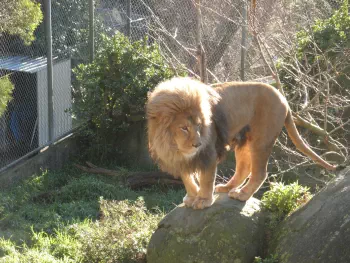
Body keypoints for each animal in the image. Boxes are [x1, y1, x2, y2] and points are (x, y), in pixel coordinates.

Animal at [146, 77, 336, 210]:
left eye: (199, 126)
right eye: (184, 128)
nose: (198, 144)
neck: (173, 146)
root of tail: (283, 98)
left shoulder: (209, 154)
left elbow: (206, 179)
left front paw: (203, 200)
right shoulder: (180, 159)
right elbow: (187, 178)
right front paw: (191, 197)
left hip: (261, 141)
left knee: (259, 172)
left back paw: (242, 194)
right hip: (244, 142)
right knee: (244, 168)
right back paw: (227, 187)